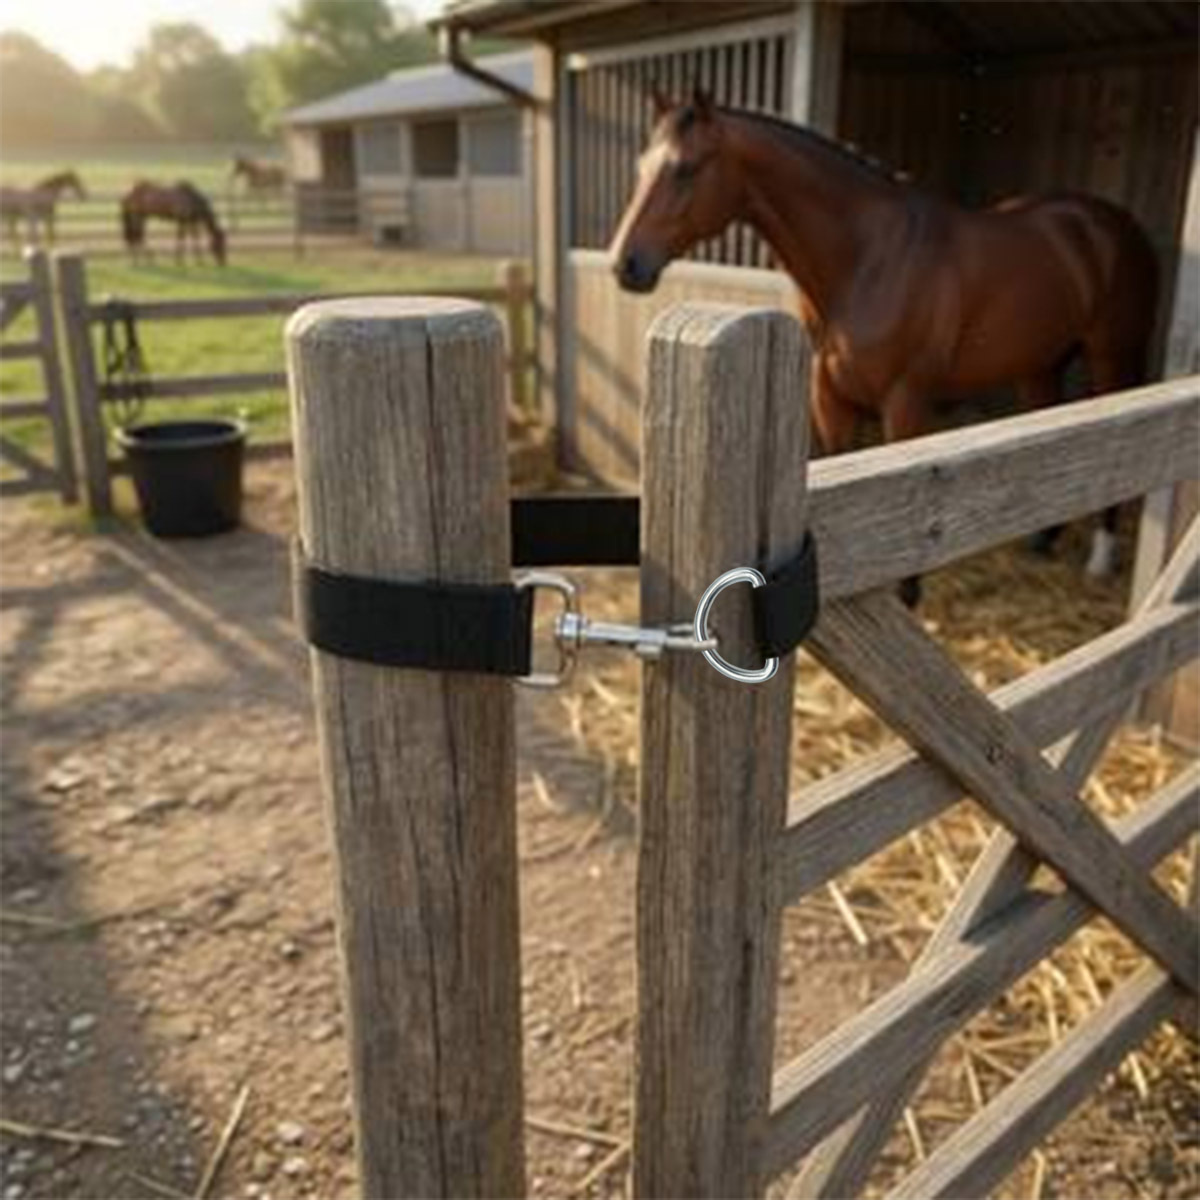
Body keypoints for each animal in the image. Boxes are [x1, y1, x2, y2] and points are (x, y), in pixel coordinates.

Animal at [609, 91, 1159, 585]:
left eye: (686, 168)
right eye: (639, 168)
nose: (625, 264)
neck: (869, 260)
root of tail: (1111, 222)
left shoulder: (906, 406)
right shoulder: (832, 404)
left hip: (1112, 357)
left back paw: (1100, 559)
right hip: (1038, 365)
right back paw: (1043, 539)